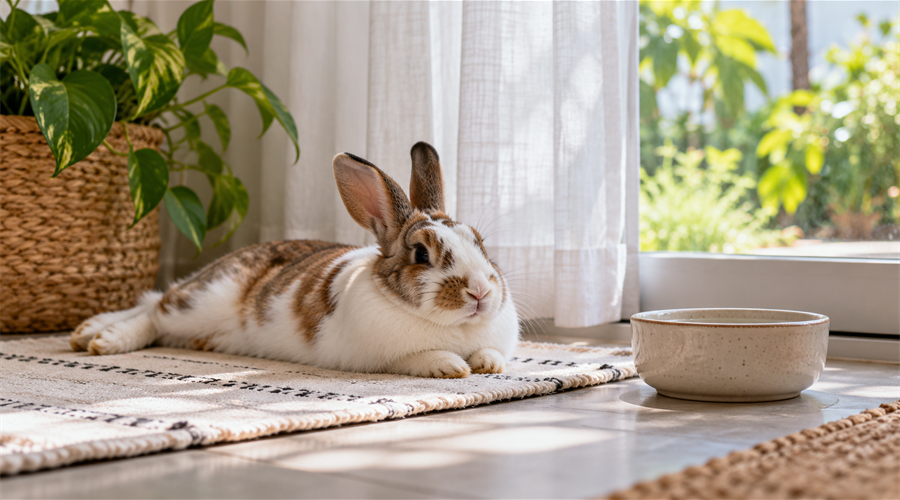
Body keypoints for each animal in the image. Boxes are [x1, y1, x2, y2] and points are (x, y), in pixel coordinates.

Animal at [70, 142, 519, 378]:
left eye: (480, 243)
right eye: (421, 254)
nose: (480, 292)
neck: (455, 327)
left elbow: (492, 354)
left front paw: (487, 366)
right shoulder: (379, 357)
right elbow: (421, 357)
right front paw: (452, 367)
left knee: (154, 306)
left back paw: (90, 330)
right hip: (203, 301)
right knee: (155, 308)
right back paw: (102, 339)